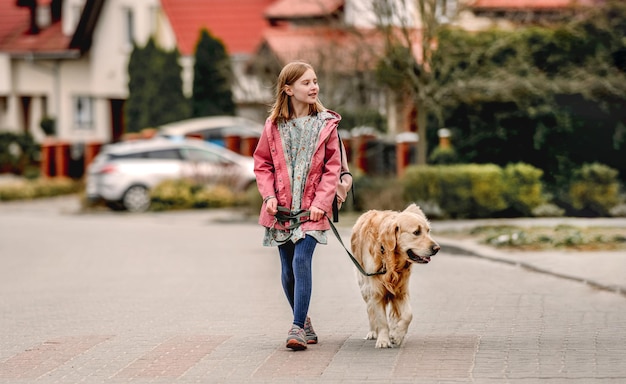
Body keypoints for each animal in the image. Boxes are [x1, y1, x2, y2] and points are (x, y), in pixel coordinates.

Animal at [352, 204, 438, 348]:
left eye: (428, 231)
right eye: (416, 232)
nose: (437, 248)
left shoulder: (401, 290)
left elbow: (408, 315)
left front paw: (397, 335)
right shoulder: (376, 291)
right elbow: (381, 319)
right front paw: (383, 340)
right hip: (365, 286)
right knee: (370, 309)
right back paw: (372, 332)